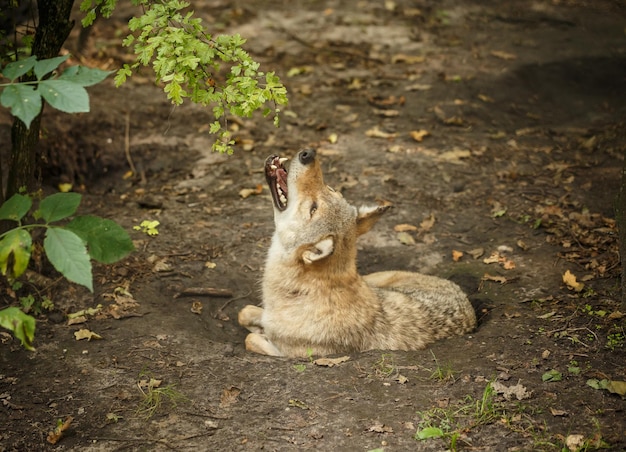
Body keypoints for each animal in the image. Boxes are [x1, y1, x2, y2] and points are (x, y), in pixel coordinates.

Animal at [236, 148, 476, 356]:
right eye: (331, 189)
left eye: (313, 209)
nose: (308, 154)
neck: (297, 293)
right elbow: (244, 312)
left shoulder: (292, 355)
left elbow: (251, 339)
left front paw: (259, 331)